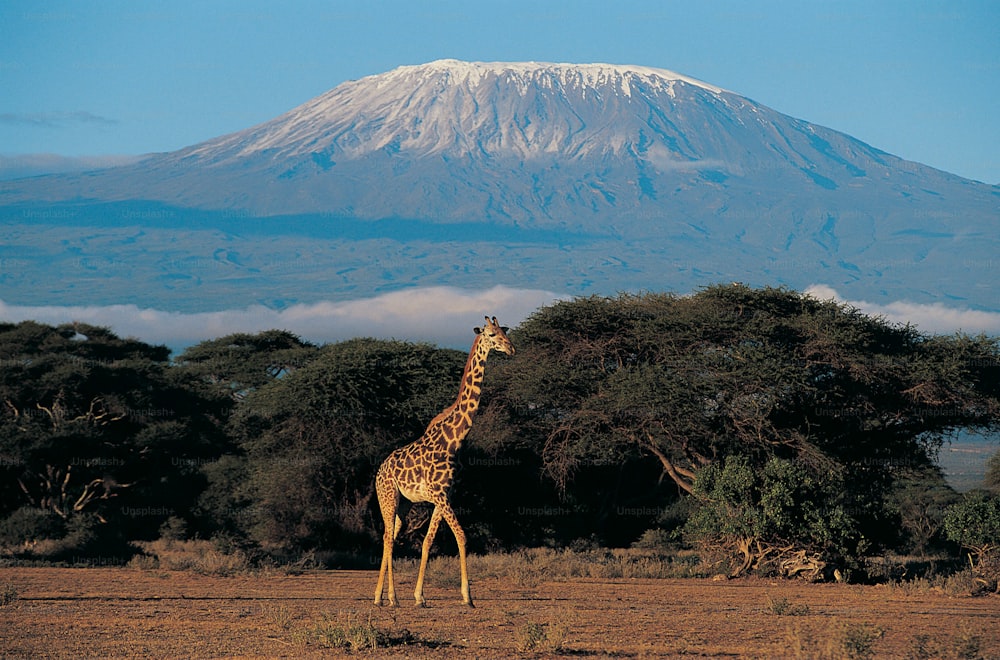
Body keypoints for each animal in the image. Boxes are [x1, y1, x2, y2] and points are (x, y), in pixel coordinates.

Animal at [376, 318, 516, 604]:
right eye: (491, 334)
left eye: (505, 331)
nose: (511, 349)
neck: (455, 439)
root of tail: (378, 472)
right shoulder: (440, 495)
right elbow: (462, 536)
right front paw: (467, 596)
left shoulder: (444, 495)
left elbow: (428, 541)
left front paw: (419, 596)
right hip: (388, 497)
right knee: (387, 538)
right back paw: (392, 597)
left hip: (404, 504)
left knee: (389, 536)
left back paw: (378, 596)